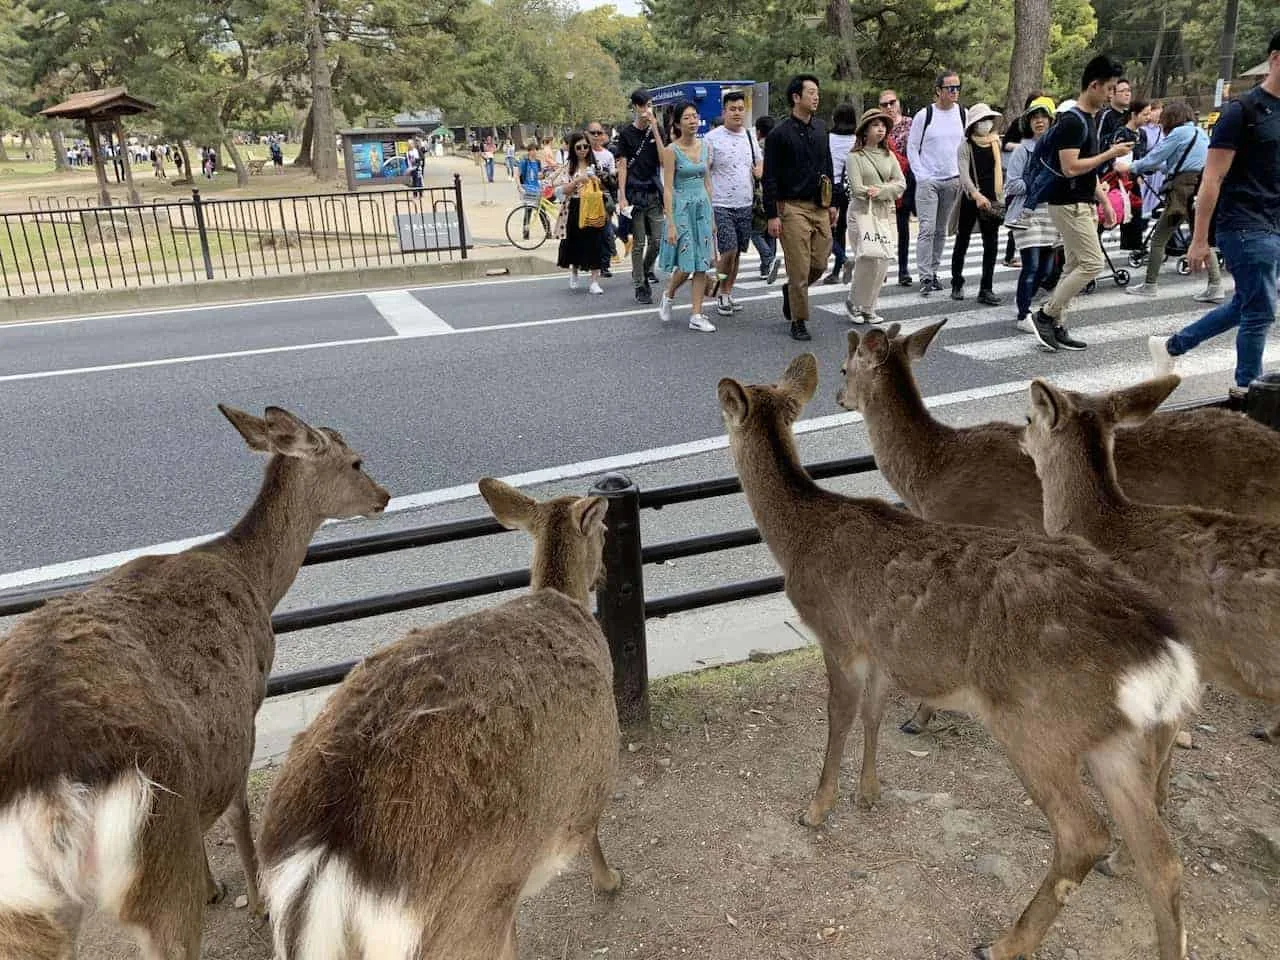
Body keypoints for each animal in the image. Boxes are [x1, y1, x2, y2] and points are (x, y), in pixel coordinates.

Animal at [0, 407, 389, 960]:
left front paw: (215, 886)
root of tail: (51, 805)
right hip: (155, 852)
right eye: (356, 461)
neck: (255, 580)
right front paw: (256, 899)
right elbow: (237, 810)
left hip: (25, 912)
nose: (384, 495)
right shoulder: (247, 702)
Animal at [257, 478, 622, 960]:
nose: (605, 574)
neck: (561, 597)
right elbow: (593, 832)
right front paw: (610, 881)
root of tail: (326, 860)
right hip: (470, 913)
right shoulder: (593, 766)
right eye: (605, 532)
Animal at [721, 355, 1198, 960]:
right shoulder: (882, 649)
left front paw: (816, 809)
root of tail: (1166, 656)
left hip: (1036, 723)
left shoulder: (838, 635)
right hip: (1116, 742)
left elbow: (838, 720)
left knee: (1084, 834)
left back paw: (1004, 943)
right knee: (1163, 860)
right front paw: (870, 793)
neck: (799, 539)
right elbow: (874, 715)